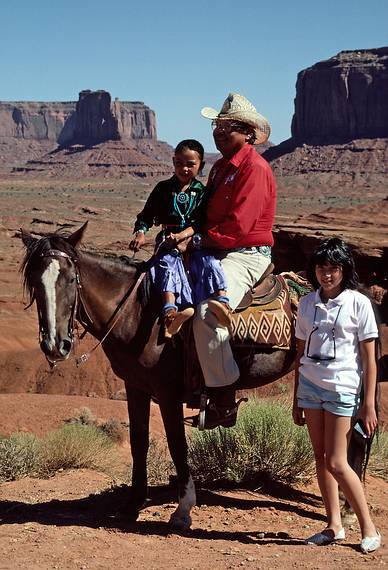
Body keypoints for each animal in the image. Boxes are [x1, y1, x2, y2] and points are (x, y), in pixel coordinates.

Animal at [21, 222, 370, 528]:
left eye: (70, 279)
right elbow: (138, 442)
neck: (139, 313)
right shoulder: (135, 386)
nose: (55, 345)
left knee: (354, 436)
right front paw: (132, 504)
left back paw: (347, 509)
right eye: (35, 283)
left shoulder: (167, 393)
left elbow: (177, 445)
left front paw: (183, 509)